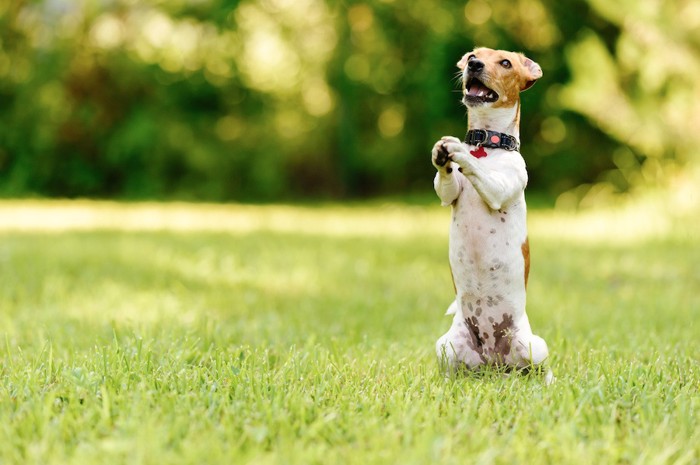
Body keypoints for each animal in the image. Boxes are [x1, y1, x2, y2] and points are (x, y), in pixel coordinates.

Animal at [430, 47, 548, 376]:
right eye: (472, 54)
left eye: (505, 62)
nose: (474, 64)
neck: (488, 145)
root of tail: (494, 361)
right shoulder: (449, 193)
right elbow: (446, 182)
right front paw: (442, 156)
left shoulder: (498, 188)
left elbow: (479, 171)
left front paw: (459, 152)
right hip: (446, 346)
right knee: (452, 368)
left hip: (534, 347)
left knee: (542, 369)